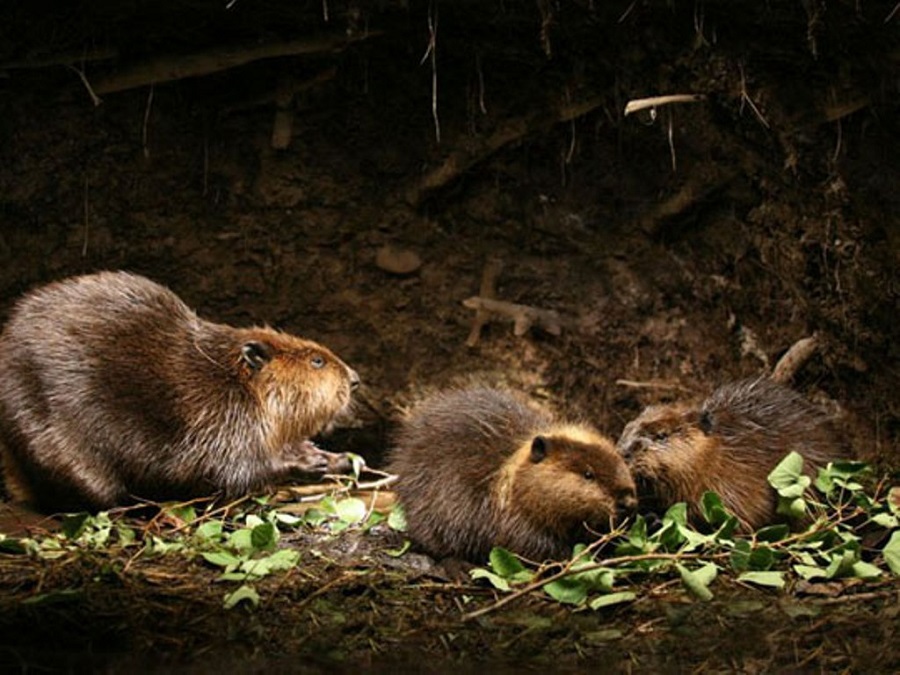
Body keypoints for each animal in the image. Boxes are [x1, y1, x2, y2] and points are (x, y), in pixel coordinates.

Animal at [0, 270, 358, 512]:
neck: (229, 378)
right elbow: (230, 471)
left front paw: (336, 457)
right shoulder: (219, 417)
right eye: (316, 360)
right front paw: (311, 463)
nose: (354, 378)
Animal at [388, 386, 640, 564]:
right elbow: (528, 544)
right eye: (588, 474)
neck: (509, 476)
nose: (627, 501)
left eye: (620, 461)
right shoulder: (510, 519)